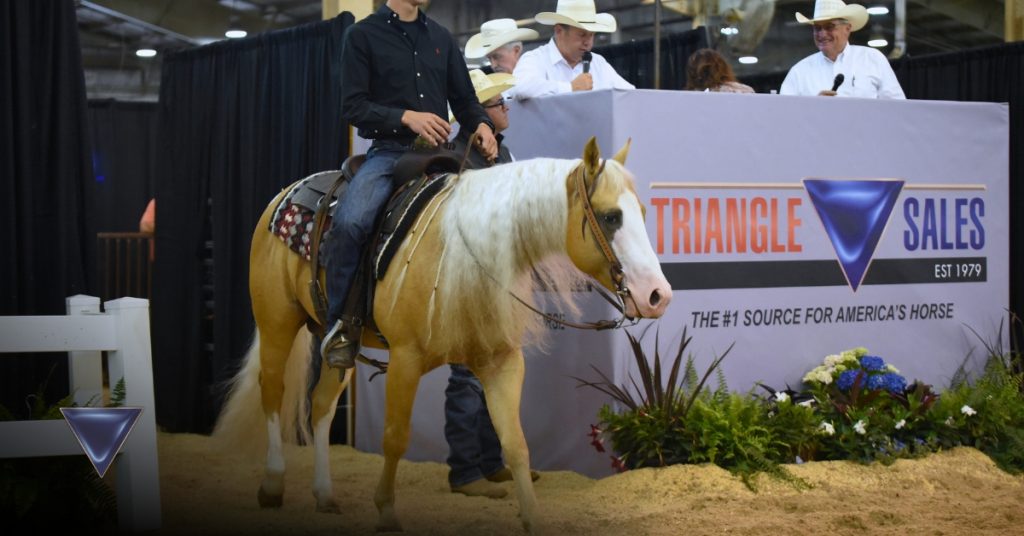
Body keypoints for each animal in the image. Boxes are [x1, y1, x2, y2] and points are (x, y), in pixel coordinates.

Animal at [213, 137, 673, 533]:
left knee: (321, 405)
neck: (462, 251)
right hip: (277, 321)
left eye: (643, 212)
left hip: (336, 344)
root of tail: (284, 194)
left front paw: (532, 519)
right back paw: (272, 484)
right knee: (273, 391)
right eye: (611, 216)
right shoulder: (406, 359)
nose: (657, 295)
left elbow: (516, 444)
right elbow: (395, 437)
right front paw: (386, 512)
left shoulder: (501, 363)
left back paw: (325, 495)